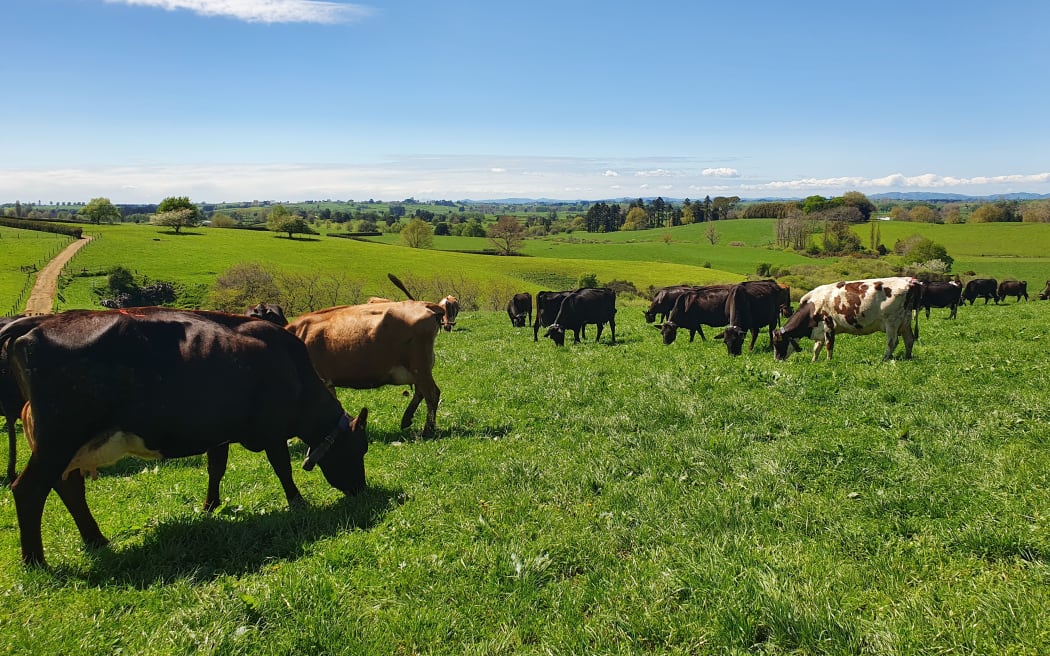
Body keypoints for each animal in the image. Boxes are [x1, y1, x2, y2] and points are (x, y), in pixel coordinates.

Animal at [0, 306, 369, 562]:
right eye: (360, 449)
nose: (361, 490)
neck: (295, 370)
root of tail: (38, 323)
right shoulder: (272, 429)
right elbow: (282, 467)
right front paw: (298, 501)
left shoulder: (219, 432)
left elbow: (216, 468)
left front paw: (210, 506)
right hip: (59, 439)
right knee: (29, 490)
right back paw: (35, 561)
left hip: (70, 445)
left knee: (69, 488)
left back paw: (96, 540)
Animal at [283, 300, 443, 434]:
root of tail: (424, 304)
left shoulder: (321, 379)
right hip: (418, 369)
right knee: (421, 392)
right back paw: (407, 420)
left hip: (419, 366)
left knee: (432, 394)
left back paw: (428, 429)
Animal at [772, 274, 919, 361]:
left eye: (777, 343)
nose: (776, 359)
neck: (812, 307)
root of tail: (909, 280)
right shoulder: (819, 329)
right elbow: (816, 347)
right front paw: (814, 361)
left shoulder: (829, 325)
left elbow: (829, 345)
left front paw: (828, 362)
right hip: (905, 322)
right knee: (909, 340)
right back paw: (908, 357)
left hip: (892, 321)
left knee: (892, 342)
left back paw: (884, 359)